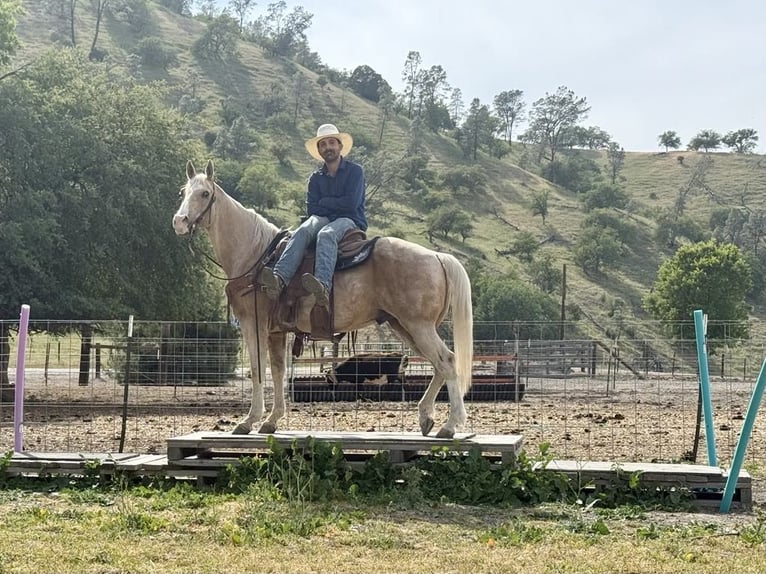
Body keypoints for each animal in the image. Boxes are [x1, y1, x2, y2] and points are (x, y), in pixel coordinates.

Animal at [172, 160, 474, 438]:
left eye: (204, 194)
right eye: (184, 191)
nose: (179, 221)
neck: (256, 256)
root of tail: (438, 256)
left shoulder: (252, 324)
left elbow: (258, 369)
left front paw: (248, 421)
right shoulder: (276, 331)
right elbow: (278, 371)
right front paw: (271, 421)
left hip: (418, 326)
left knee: (447, 361)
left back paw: (450, 425)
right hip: (404, 326)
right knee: (439, 364)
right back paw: (426, 418)